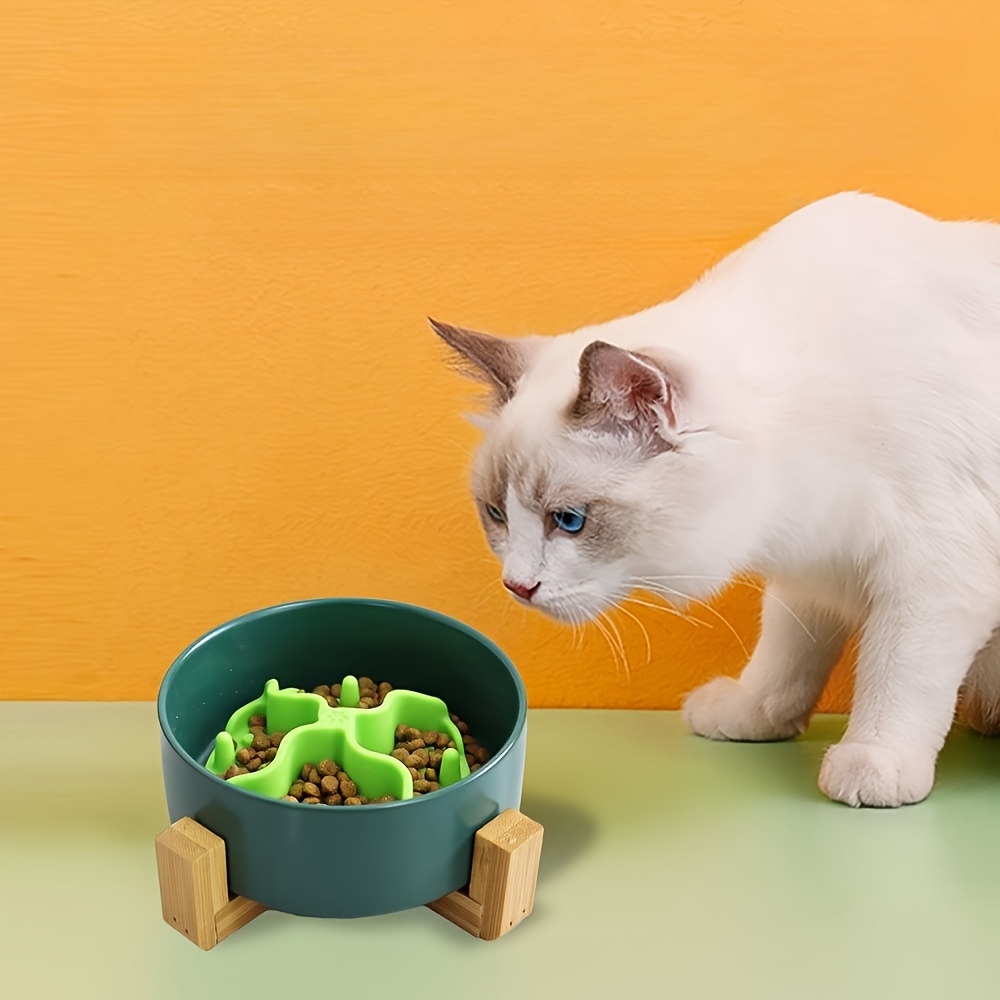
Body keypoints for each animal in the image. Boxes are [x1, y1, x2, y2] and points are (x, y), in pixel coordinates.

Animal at [436, 193, 1000, 804]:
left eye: (569, 520)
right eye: (496, 514)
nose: (516, 587)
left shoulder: (931, 578)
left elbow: (897, 674)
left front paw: (873, 763)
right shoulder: (815, 562)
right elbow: (786, 654)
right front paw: (754, 716)